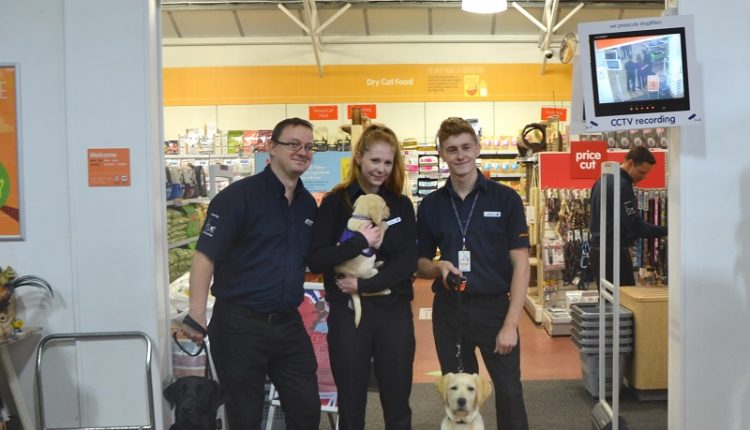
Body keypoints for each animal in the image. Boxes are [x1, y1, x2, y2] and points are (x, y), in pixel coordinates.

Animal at [336, 193, 394, 328]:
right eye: (384, 206)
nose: (390, 211)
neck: (361, 217)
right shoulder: (376, 241)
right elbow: (380, 228)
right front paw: (384, 224)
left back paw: (378, 263)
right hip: (368, 273)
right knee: (365, 291)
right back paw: (385, 290)